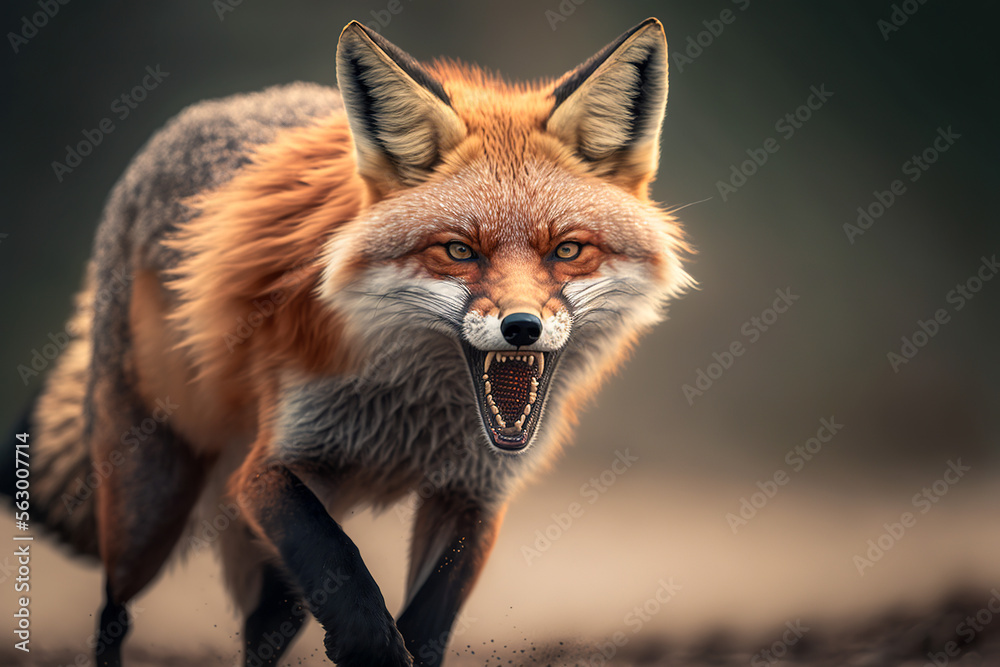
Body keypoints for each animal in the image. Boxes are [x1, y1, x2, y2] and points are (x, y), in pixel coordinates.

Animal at [5, 17, 692, 667]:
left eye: (568, 250)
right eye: (458, 251)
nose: (521, 327)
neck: (416, 418)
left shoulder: (474, 493)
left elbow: (430, 623)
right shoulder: (271, 466)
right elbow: (344, 565)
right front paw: (372, 644)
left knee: (257, 636)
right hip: (148, 508)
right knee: (113, 612)